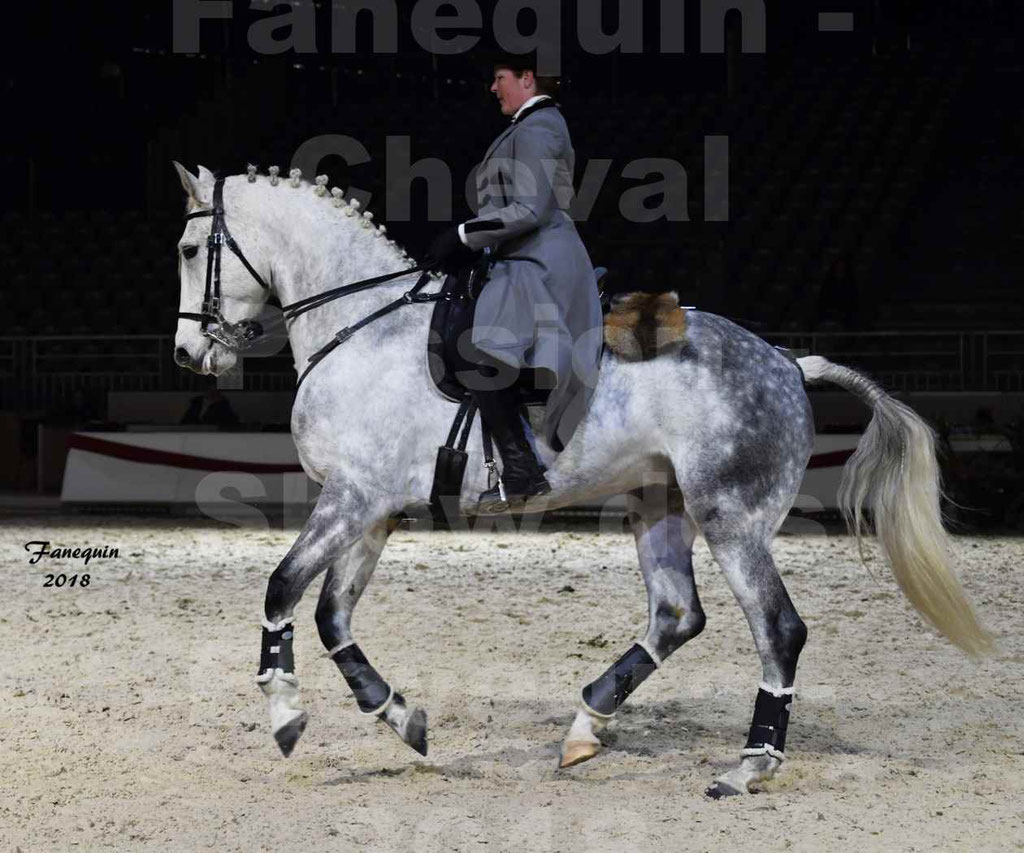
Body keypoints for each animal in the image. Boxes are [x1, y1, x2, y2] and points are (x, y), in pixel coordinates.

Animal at [172, 165, 987, 798]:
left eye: (186, 248)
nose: (188, 354)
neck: (362, 325)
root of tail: (789, 361)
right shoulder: (372, 509)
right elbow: (331, 615)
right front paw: (401, 717)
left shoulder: (352, 500)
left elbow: (281, 588)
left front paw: (284, 712)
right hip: (658, 505)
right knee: (676, 615)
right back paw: (586, 724)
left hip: (731, 518)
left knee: (778, 629)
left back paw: (748, 766)